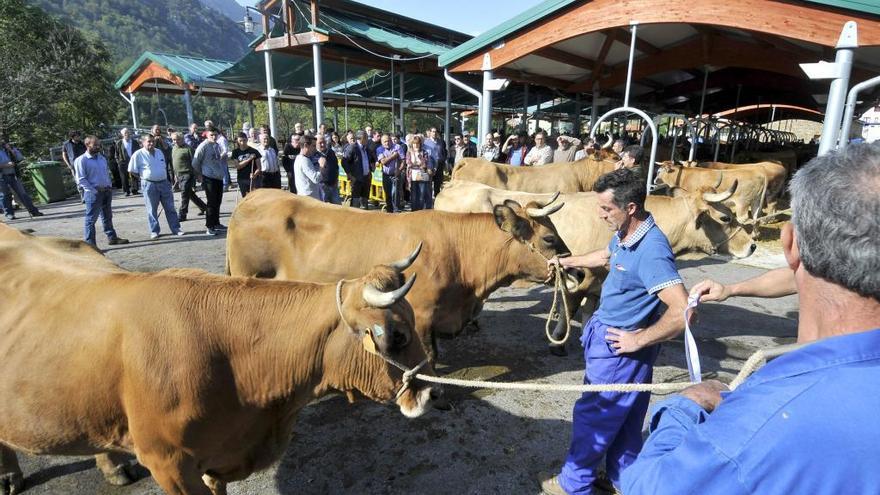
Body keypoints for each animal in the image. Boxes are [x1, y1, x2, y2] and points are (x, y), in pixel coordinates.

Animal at [434, 182, 756, 356]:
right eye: (725, 217)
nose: (752, 246)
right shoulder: (582, 280)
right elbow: (572, 307)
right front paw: (558, 342)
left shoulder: (597, 281)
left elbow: (590, 309)